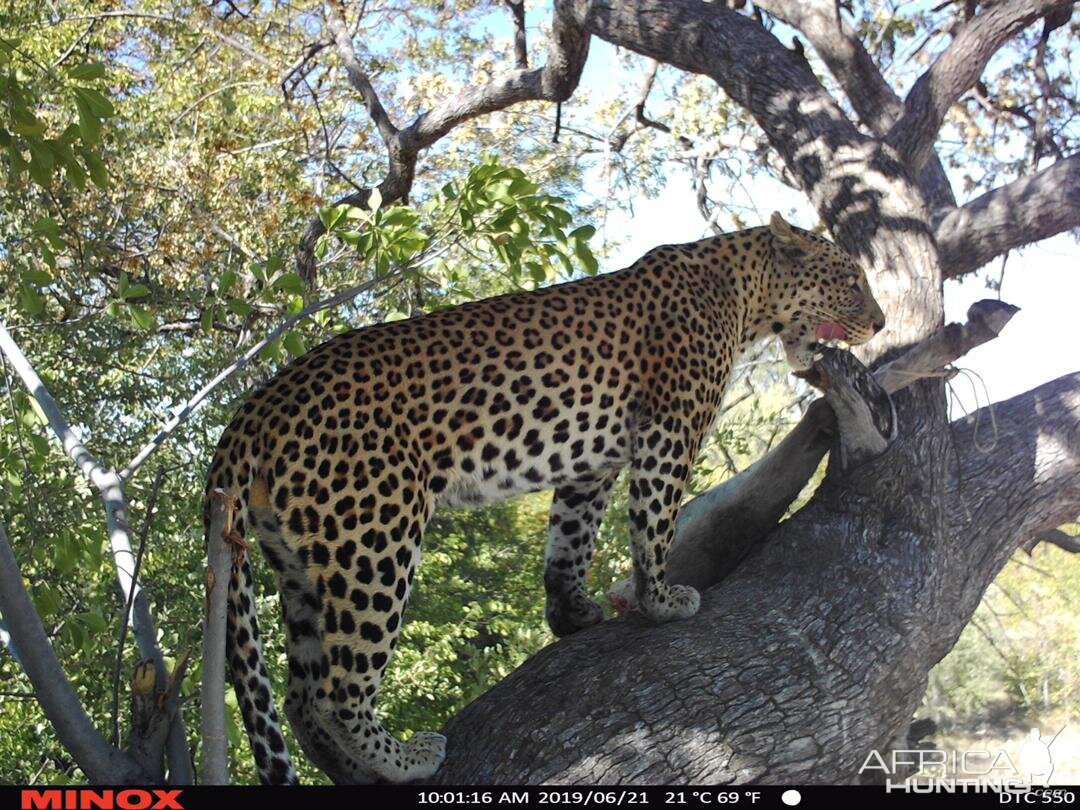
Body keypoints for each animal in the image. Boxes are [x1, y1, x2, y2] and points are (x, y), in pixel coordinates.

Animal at [203, 210, 885, 786]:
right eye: (852, 280)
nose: (880, 322)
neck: (745, 295)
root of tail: (252, 411)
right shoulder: (669, 429)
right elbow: (656, 521)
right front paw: (662, 601)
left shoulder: (593, 462)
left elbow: (571, 539)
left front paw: (571, 614)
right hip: (374, 536)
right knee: (338, 690)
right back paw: (404, 760)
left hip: (300, 562)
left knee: (299, 698)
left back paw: (355, 772)